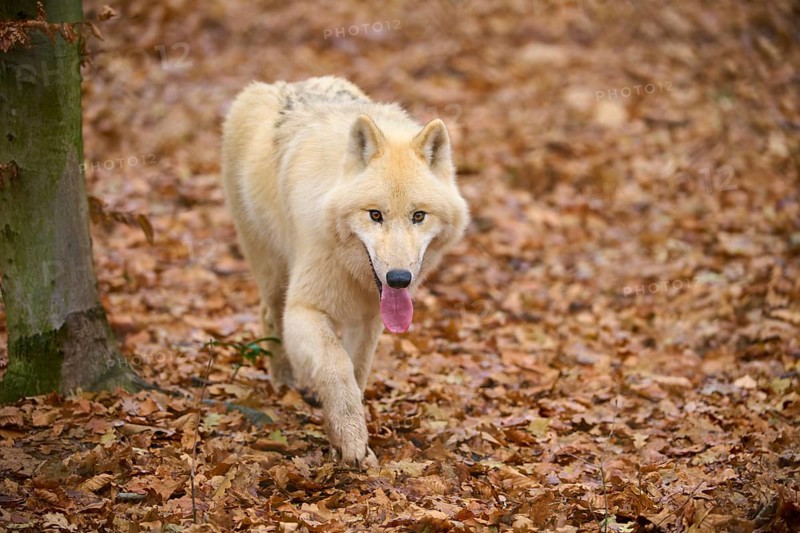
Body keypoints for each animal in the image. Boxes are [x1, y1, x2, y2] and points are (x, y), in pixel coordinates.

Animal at [221, 76, 469, 467]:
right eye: (375, 215)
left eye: (418, 216)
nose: (399, 278)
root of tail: (277, 84)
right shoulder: (303, 309)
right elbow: (335, 364)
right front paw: (351, 442)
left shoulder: (368, 319)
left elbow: (356, 370)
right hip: (272, 271)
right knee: (268, 315)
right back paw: (284, 381)